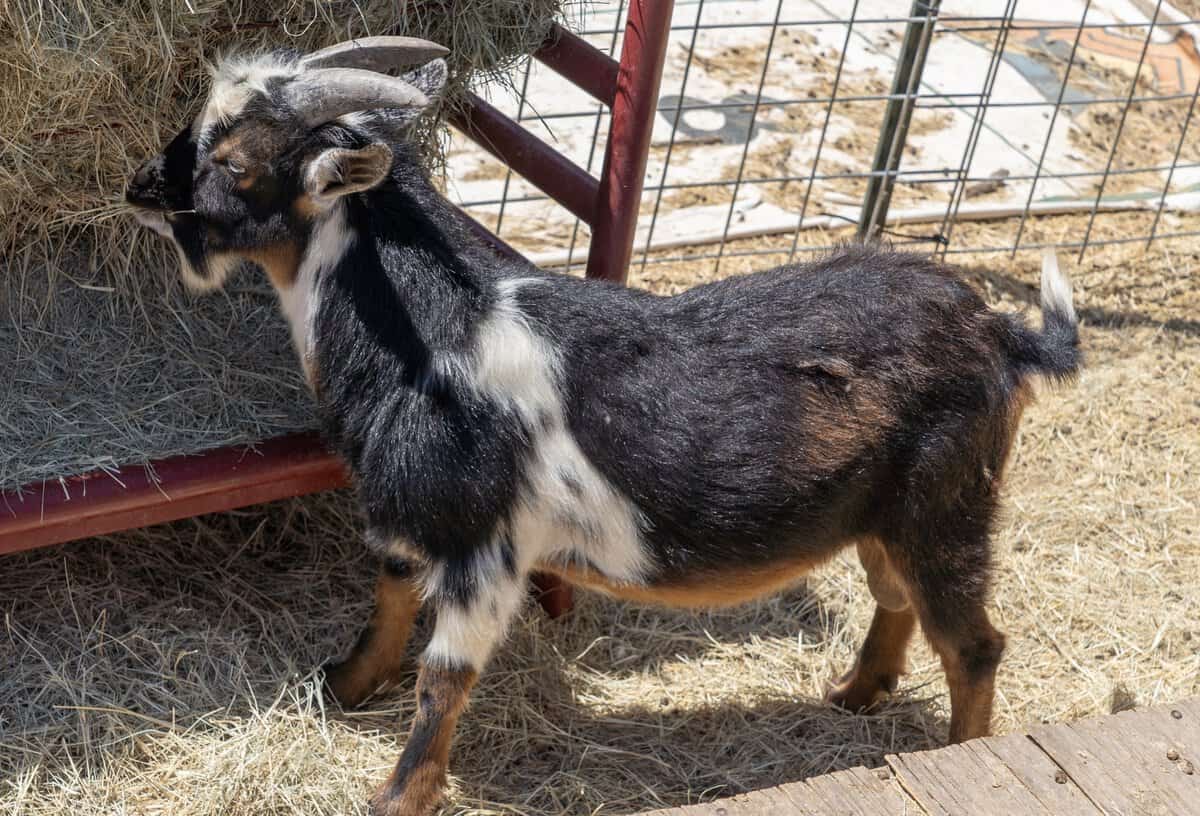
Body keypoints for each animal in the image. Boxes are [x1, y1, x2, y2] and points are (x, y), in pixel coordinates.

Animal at [125, 38, 1080, 816]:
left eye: (234, 158)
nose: (141, 186)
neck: (434, 331)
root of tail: (1002, 331)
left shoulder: (486, 548)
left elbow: (444, 680)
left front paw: (397, 796)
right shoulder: (415, 514)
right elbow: (390, 591)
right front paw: (345, 685)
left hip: (947, 507)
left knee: (975, 643)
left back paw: (962, 756)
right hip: (881, 515)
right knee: (897, 598)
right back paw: (856, 692)